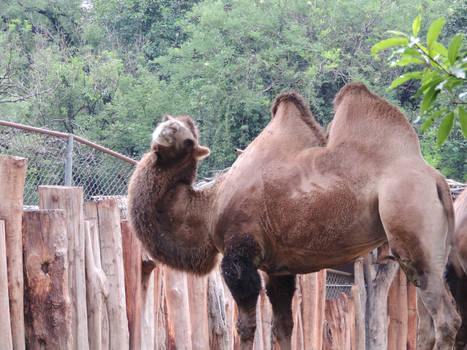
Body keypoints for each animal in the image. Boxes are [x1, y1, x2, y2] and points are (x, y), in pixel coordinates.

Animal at [127, 83, 460, 348]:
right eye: (171, 124)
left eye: (186, 137)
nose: (164, 129)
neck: (209, 208)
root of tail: (436, 180)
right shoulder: (277, 267)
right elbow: (282, 326)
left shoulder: (239, 252)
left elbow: (245, 326)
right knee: (428, 319)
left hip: (409, 214)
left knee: (446, 318)